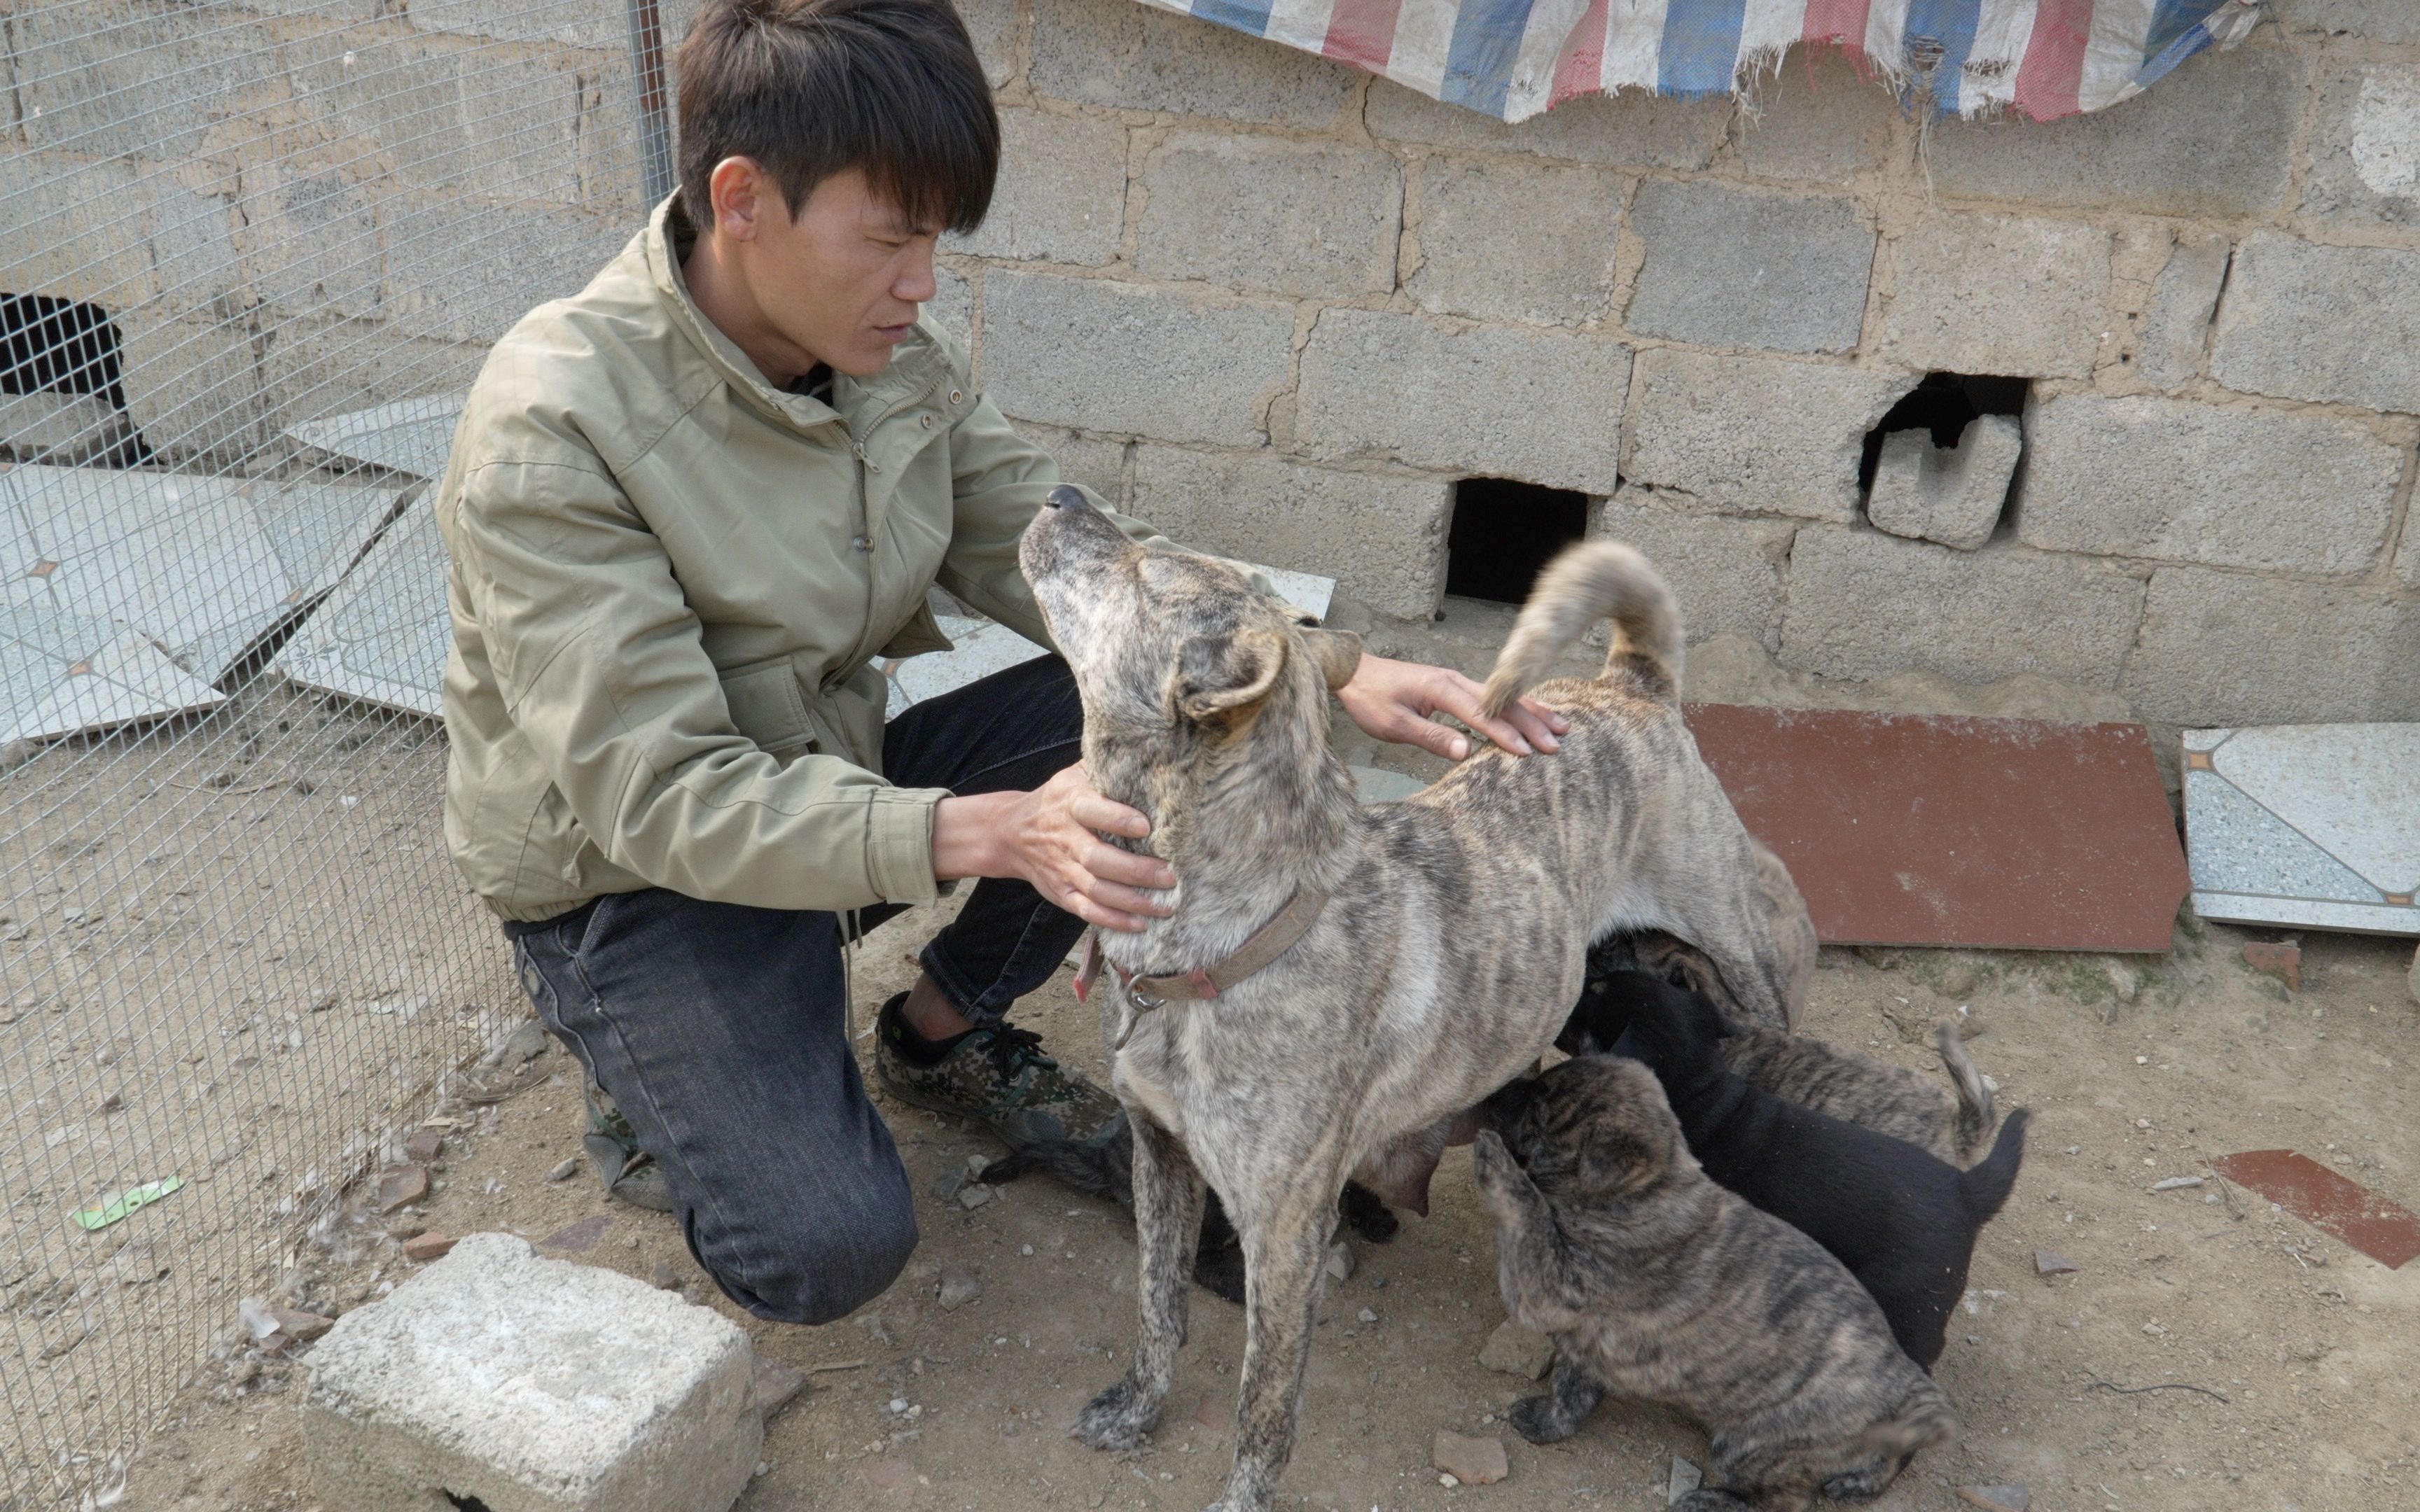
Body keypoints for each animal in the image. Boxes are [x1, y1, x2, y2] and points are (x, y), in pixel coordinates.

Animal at [1021, 496, 1800, 1509]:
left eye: (1146, 569)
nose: (1063, 495)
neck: (1220, 942)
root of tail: (1632, 685)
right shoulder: (1160, 1153)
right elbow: (1157, 1301)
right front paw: (1136, 1409)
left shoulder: (1283, 1236)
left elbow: (1262, 1412)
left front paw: (1239, 1496)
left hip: (1736, 950)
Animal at [1471, 1049, 1945, 1509]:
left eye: (1540, 1106)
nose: (1496, 1093)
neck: (1644, 1192)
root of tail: (1901, 1381)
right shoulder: (1584, 1342)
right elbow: (1572, 1390)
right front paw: (1548, 1423)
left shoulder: (1548, 1289)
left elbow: (1527, 1207)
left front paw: (1494, 1156)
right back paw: (1859, 1482)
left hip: (1750, 1446)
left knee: (1785, 1500)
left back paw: (1713, 1500)